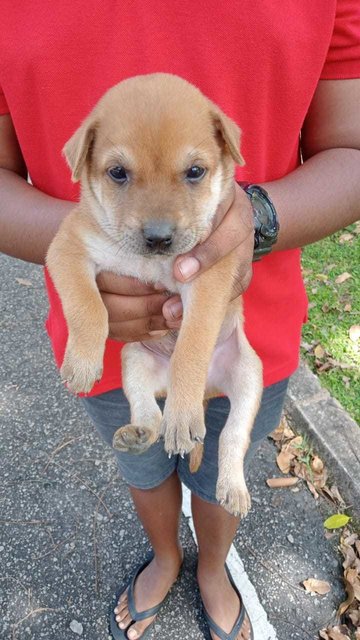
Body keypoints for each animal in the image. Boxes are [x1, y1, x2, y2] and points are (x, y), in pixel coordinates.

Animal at [46, 72, 262, 516]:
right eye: (117, 173)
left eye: (195, 171)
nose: (159, 238)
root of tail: (209, 390)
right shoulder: (68, 247)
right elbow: (87, 305)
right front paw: (82, 361)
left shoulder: (207, 280)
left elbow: (191, 348)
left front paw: (182, 413)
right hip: (134, 361)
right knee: (150, 414)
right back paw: (139, 435)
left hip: (250, 377)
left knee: (232, 437)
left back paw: (231, 485)